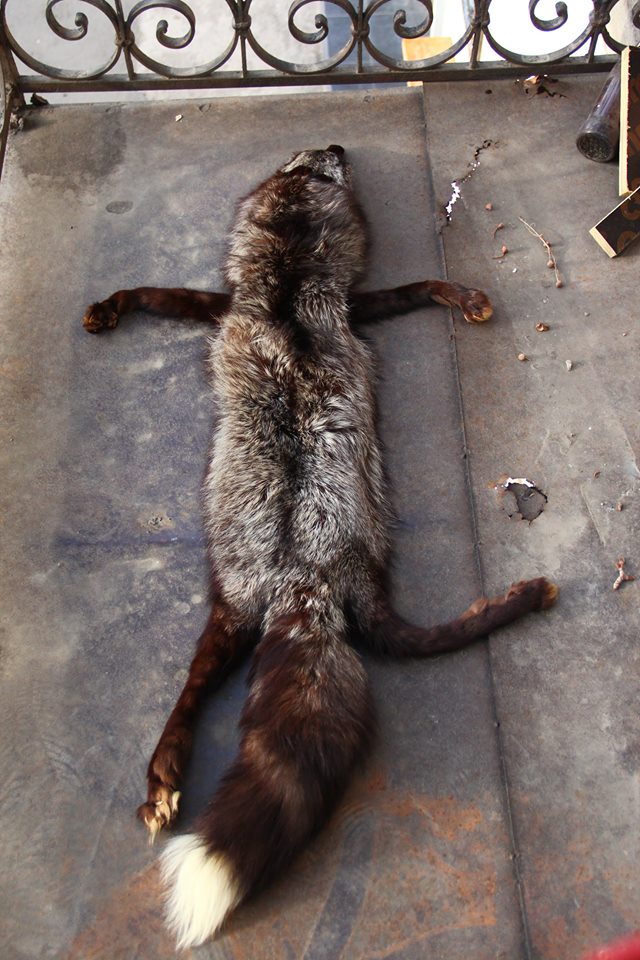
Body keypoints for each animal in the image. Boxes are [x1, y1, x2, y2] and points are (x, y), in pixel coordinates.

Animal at [82, 144, 557, 950]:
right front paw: (110, 305)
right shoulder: (277, 305)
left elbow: (419, 286)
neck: (285, 284)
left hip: (239, 613)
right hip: (249, 612)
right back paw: (165, 775)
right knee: (400, 643)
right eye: (307, 166)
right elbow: (155, 291)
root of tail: (302, 578)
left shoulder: (324, 306)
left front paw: (462, 296)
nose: (336, 145)